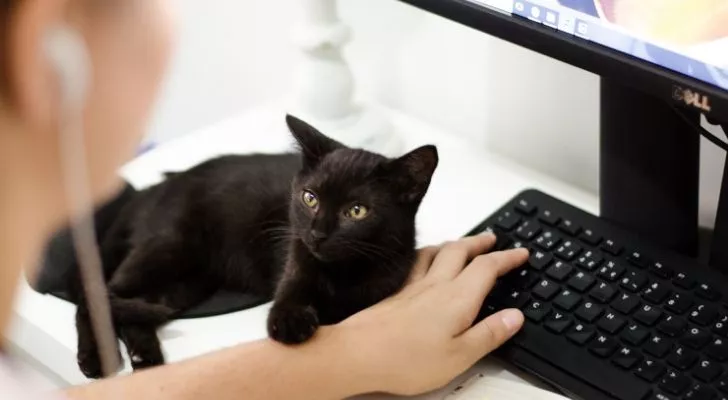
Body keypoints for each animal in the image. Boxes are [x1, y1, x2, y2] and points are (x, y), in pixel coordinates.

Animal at [74, 115, 438, 378]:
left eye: (357, 211)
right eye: (310, 198)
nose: (318, 233)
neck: (343, 272)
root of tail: (153, 188)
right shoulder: (295, 261)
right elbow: (288, 303)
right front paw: (292, 323)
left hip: (186, 284)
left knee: (132, 307)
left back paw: (145, 356)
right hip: (169, 246)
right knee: (97, 295)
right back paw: (95, 358)